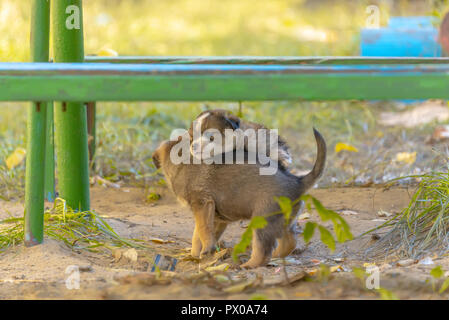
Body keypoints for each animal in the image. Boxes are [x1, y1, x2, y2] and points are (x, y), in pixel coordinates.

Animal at [152, 129, 324, 268]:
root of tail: (297, 181)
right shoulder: (216, 217)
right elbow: (198, 235)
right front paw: (195, 254)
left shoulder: (202, 204)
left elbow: (202, 231)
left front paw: (204, 252)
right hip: (285, 221)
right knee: (289, 243)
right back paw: (276, 257)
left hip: (262, 222)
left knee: (263, 251)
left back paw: (249, 265)